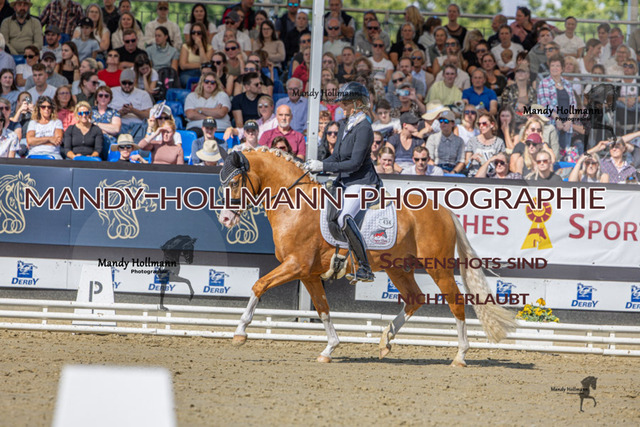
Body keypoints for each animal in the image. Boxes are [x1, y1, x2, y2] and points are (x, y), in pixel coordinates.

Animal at [218, 147, 515, 365]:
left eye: (234, 182)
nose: (224, 219)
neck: (297, 204)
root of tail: (444, 210)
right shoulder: (309, 274)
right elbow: (323, 309)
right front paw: (329, 349)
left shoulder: (295, 265)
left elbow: (259, 285)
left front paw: (240, 332)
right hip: (398, 268)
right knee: (414, 299)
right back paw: (385, 342)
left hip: (437, 267)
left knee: (456, 302)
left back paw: (460, 355)